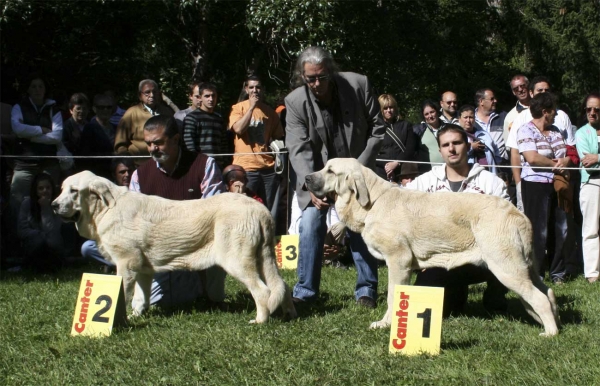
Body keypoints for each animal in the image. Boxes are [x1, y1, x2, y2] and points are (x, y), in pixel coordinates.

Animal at [52, 171, 296, 322]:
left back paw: (260, 320)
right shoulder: (142, 270)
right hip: (263, 259)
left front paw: (118, 319)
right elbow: (140, 298)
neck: (105, 209)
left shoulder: (126, 264)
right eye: (62, 189)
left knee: (263, 292)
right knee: (281, 286)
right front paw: (136, 317)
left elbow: (123, 296)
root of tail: (260, 210)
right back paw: (288, 315)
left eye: (74, 191)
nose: (53, 205)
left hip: (237, 262)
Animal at [308, 158, 560, 336]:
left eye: (330, 171)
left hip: (505, 267)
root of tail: (519, 214)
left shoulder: (398, 261)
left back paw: (550, 333)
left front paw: (386, 323)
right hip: (524, 267)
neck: (372, 202)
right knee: (547, 292)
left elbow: (392, 296)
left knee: (538, 298)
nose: (307, 178)